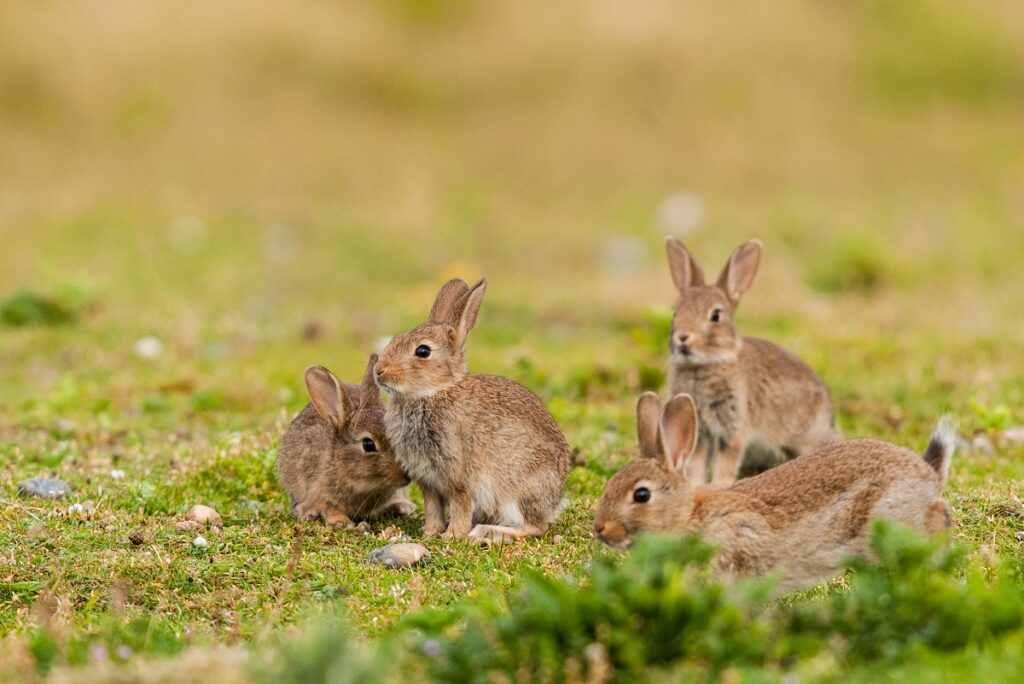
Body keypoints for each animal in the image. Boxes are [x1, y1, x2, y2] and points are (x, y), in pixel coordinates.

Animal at [372, 278, 573, 544]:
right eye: (395, 339)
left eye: (423, 351)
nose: (379, 371)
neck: (433, 392)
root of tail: (556, 500)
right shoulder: (428, 482)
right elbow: (433, 507)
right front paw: (430, 533)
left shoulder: (459, 477)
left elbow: (460, 505)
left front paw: (452, 535)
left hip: (518, 492)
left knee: (535, 527)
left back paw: (484, 532)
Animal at [663, 237, 839, 483]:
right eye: (674, 312)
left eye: (715, 315)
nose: (683, 337)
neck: (706, 363)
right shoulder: (701, 432)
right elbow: (696, 463)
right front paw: (696, 484)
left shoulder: (733, 427)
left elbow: (726, 463)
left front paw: (718, 485)